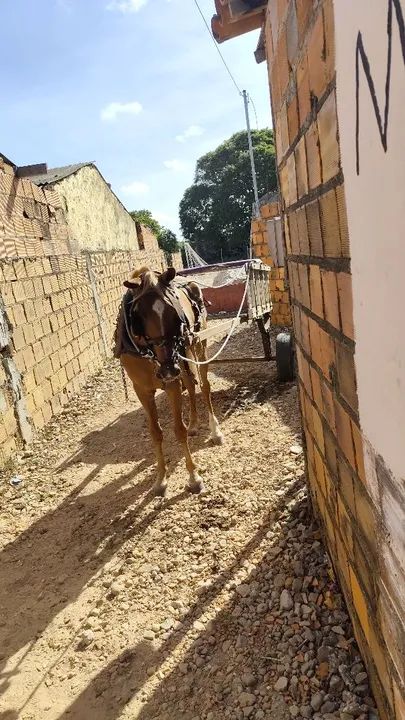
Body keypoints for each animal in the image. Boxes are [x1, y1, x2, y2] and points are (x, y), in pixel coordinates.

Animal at [113, 266, 223, 496]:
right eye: (137, 315)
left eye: (173, 313)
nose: (166, 369)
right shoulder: (141, 390)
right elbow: (155, 433)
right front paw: (160, 479)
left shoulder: (171, 384)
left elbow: (178, 430)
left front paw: (194, 478)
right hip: (182, 359)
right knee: (190, 383)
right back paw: (194, 423)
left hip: (197, 346)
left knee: (204, 386)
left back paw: (215, 430)